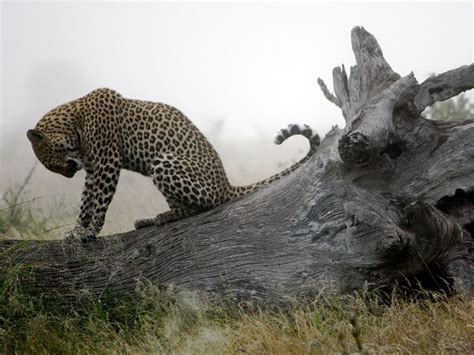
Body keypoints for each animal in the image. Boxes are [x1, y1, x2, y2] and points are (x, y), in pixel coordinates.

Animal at [26, 88, 322, 242]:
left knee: (205, 206)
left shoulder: (106, 163)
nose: (68, 174)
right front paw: (77, 229)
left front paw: (90, 233)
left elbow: (99, 202)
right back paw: (150, 219)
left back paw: (161, 217)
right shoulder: (91, 169)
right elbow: (85, 202)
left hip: (163, 162)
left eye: (52, 165)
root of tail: (226, 184)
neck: (73, 121)